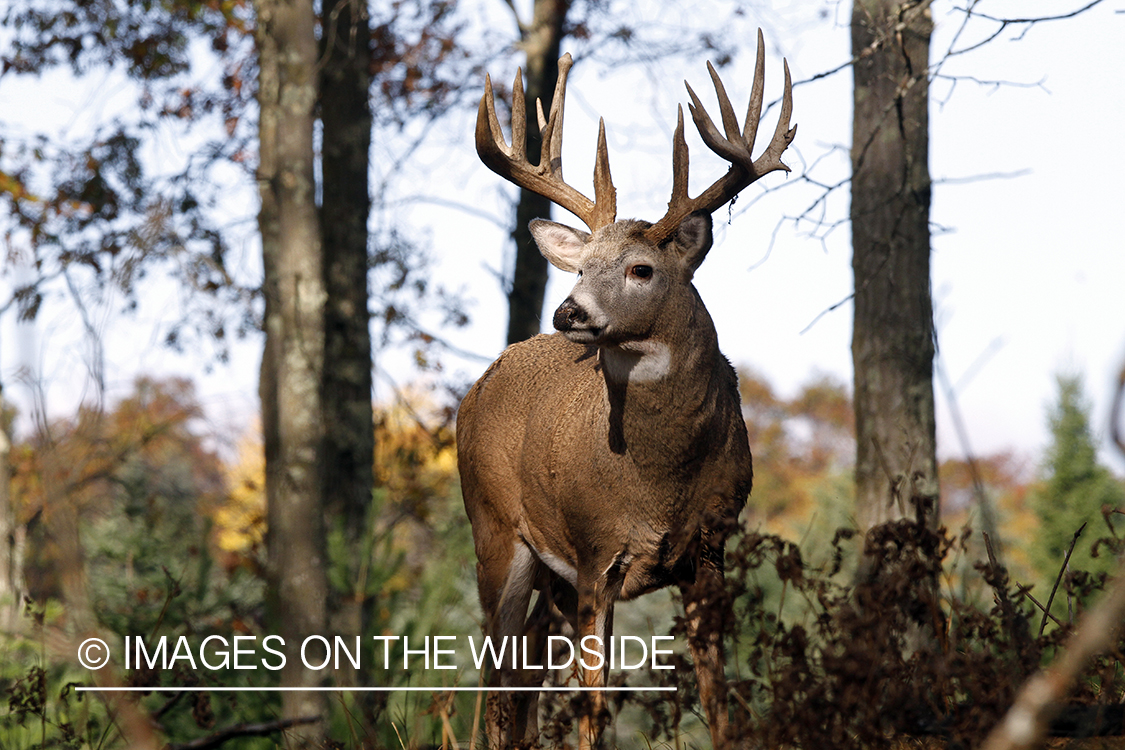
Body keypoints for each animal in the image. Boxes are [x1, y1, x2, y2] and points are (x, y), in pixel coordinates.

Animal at [454, 30, 792, 750]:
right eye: (580, 267)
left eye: (641, 269)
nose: (569, 312)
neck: (659, 480)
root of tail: (478, 387)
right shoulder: (593, 552)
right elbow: (594, 705)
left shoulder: (710, 547)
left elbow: (718, 697)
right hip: (495, 528)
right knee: (495, 678)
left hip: (547, 580)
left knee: (523, 673)